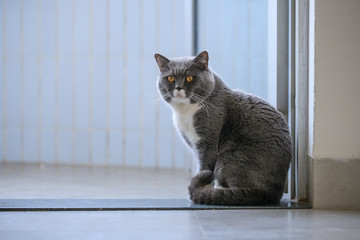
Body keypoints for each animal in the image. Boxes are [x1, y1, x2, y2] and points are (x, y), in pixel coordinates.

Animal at [153, 51, 292, 206]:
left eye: (190, 78)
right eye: (170, 78)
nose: (178, 88)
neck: (185, 112)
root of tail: (272, 194)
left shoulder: (208, 143)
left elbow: (205, 167)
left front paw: (201, 191)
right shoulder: (193, 143)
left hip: (230, 158)